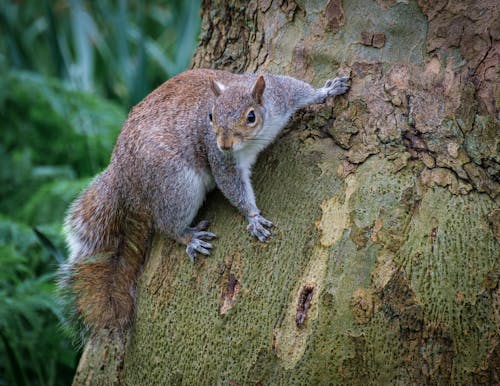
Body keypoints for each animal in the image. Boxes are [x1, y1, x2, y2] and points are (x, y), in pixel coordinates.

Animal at [59, 69, 348, 334]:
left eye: (250, 116)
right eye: (210, 116)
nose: (225, 144)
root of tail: (121, 172)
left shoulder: (281, 93)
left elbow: (302, 90)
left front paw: (329, 90)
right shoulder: (220, 158)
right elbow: (231, 185)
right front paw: (253, 217)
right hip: (177, 185)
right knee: (167, 223)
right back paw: (189, 237)